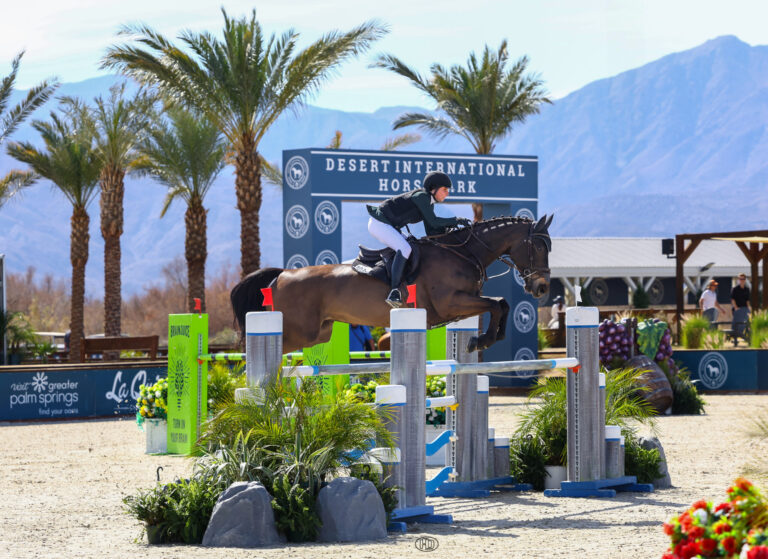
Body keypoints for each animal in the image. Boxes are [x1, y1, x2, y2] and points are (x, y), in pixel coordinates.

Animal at [230, 215, 552, 354]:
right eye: (538, 246)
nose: (541, 288)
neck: (464, 252)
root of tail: (282, 275)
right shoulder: (451, 303)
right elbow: (496, 304)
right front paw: (481, 340)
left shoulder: (462, 305)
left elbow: (501, 304)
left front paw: (487, 338)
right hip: (300, 333)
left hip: (319, 333)